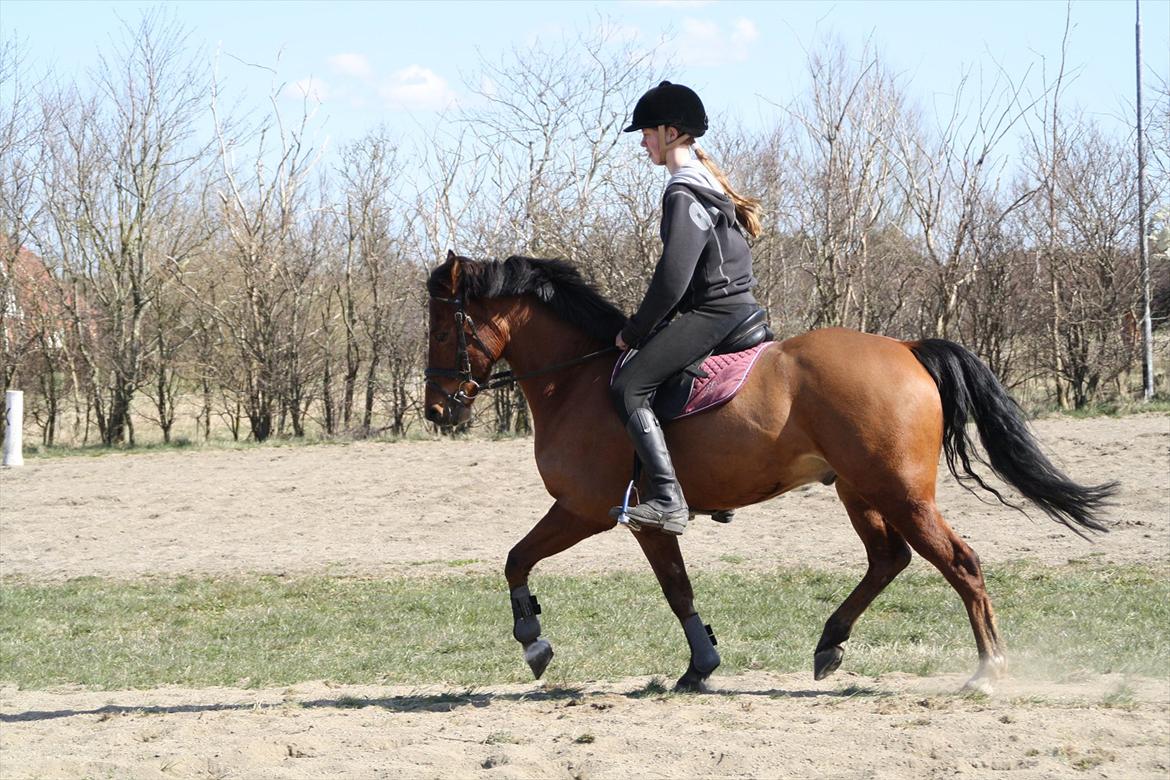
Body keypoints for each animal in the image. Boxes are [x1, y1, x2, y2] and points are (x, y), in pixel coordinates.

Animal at [423, 251, 1116, 694]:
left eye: (442, 328)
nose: (436, 410)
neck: (578, 379)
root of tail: (907, 348)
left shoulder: (590, 510)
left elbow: (520, 558)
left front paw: (533, 640)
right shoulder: (641, 522)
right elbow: (677, 589)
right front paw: (701, 664)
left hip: (900, 492)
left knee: (959, 563)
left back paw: (987, 671)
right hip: (862, 490)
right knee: (889, 559)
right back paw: (830, 643)